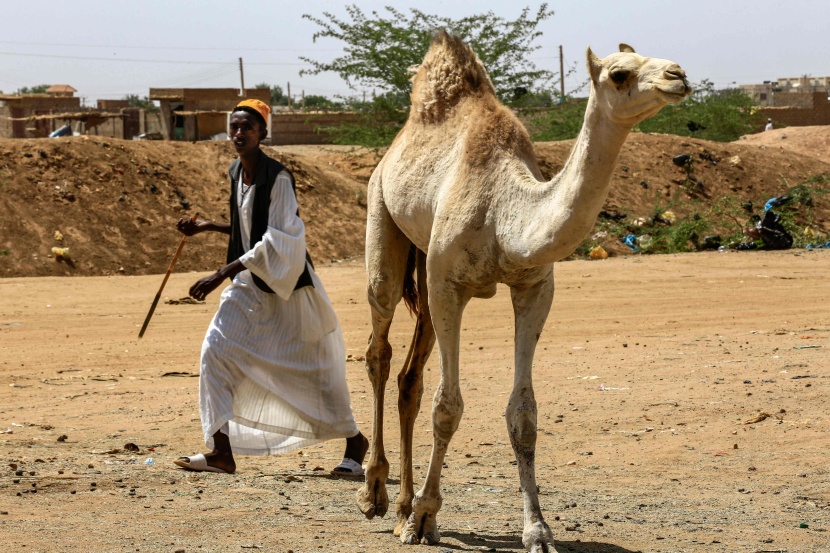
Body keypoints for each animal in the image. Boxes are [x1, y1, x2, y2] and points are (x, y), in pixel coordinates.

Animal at [354, 31, 692, 552]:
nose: (678, 75)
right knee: (379, 346)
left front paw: (538, 530)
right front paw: (425, 518)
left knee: (410, 379)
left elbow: (524, 414)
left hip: (425, 271)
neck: (505, 214)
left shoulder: (534, 288)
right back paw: (376, 495)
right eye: (620, 73)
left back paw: (403, 506)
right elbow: (447, 407)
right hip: (383, 222)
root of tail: (393, 149)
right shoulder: (449, 284)